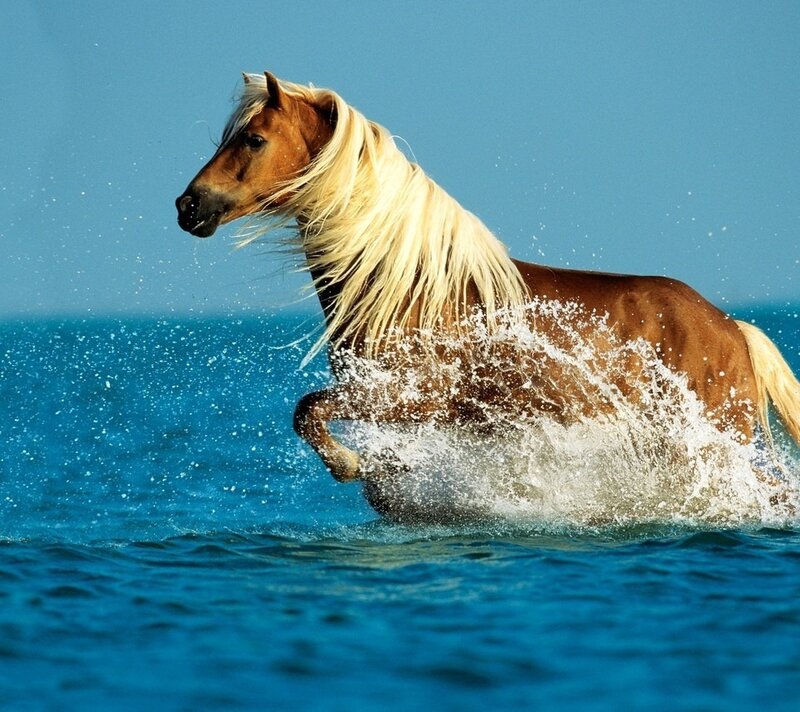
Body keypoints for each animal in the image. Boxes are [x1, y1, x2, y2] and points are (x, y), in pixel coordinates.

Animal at [176, 71, 800, 516]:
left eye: (254, 139)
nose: (189, 205)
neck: (409, 288)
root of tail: (731, 328)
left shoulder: (410, 398)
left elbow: (308, 412)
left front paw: (354, 467)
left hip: (710, 446)